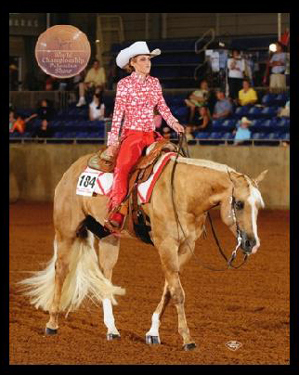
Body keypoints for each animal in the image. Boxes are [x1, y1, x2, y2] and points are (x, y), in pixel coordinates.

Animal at [21, 151, 270, 352]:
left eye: (259, 206)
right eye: (238, 204)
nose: (252, 243)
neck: (182, 192)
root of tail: (71, 170)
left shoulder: (185, 247)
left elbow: (169, 289)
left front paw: (153, 333)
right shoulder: (166, 245)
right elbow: (178, 292)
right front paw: (187, 340)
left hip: (109, 237)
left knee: (105, 277)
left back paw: (112, 329)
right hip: (66, 232)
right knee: (61, 270)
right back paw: (52, 324)